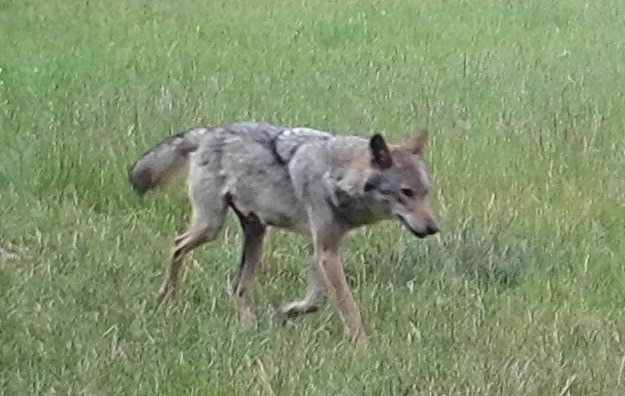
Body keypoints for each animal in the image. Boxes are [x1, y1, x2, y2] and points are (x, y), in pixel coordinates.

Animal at [128, 121, 438, 344]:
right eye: (406, 193)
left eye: (425, 193)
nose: (434, 228)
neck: (337, 175)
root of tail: (210, 131)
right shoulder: (326, 251)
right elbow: (347, 306)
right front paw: (362, 347)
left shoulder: (322, 249)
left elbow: (315, 300)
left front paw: (288, 312)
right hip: (210, 227)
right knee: (176, 244)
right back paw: (167, 298)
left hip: (255, 234)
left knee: (237, 288)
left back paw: (249, 329)